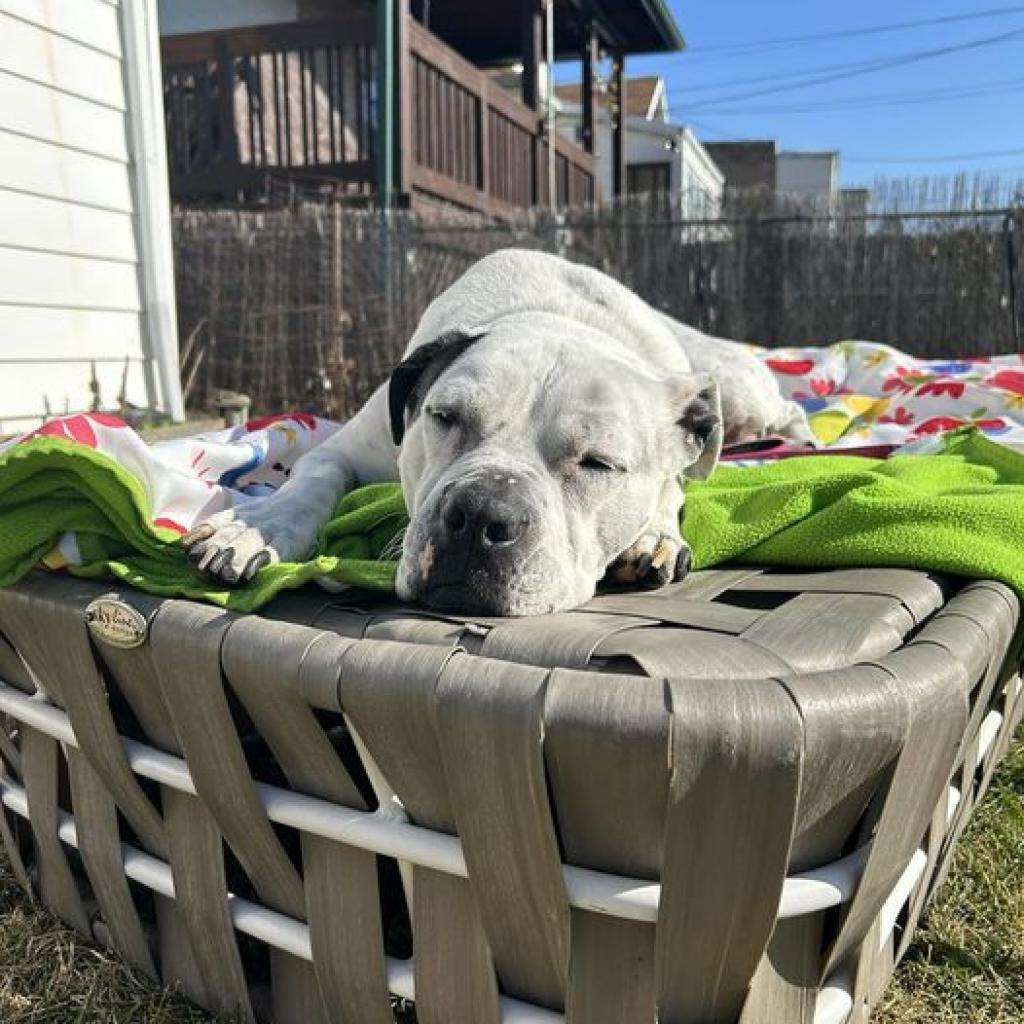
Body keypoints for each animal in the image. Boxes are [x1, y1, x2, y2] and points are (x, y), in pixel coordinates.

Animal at [182, 248, 806, 614]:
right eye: (444, 417)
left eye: (599, 464)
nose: (481, 515)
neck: (555, 316)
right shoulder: (348, 448)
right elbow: (312, 482)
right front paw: (257, 526)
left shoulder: (673, 469)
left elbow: (670, 493)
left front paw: (654, 535)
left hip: (735, 390)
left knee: (781, 416)